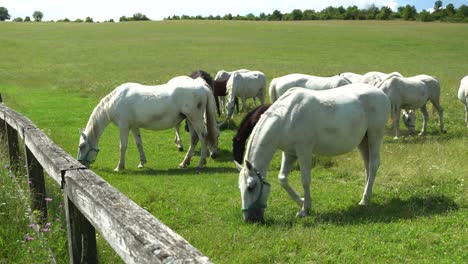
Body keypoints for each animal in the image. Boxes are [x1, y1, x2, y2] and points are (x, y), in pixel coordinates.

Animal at [77, 76, 220, 171]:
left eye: (81, 146)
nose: (80, 164)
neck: (113, 102)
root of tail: (202, 86)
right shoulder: (134, 127)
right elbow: (139, 144)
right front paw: (142, 163)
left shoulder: (124, 127)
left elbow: (123, 146)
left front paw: (119, 167)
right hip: (190, 120)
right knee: (194, 140)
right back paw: (184, 163)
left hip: (195, 119)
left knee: (202, 137)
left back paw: (201, 163)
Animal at [234, 83, 392, 222]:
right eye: (240, 187)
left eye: (251, 187)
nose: (249, 219)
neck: (287, 116)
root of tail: (382, 94)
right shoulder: (290, 153)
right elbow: (282, 178)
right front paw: (301, 201)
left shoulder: (304, 150)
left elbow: (305, 180)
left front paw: (305, 209)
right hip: (363, 141)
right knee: (367, 166)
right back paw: (367, 195)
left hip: (375, 135)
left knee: (373, 165)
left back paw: (364, 199)